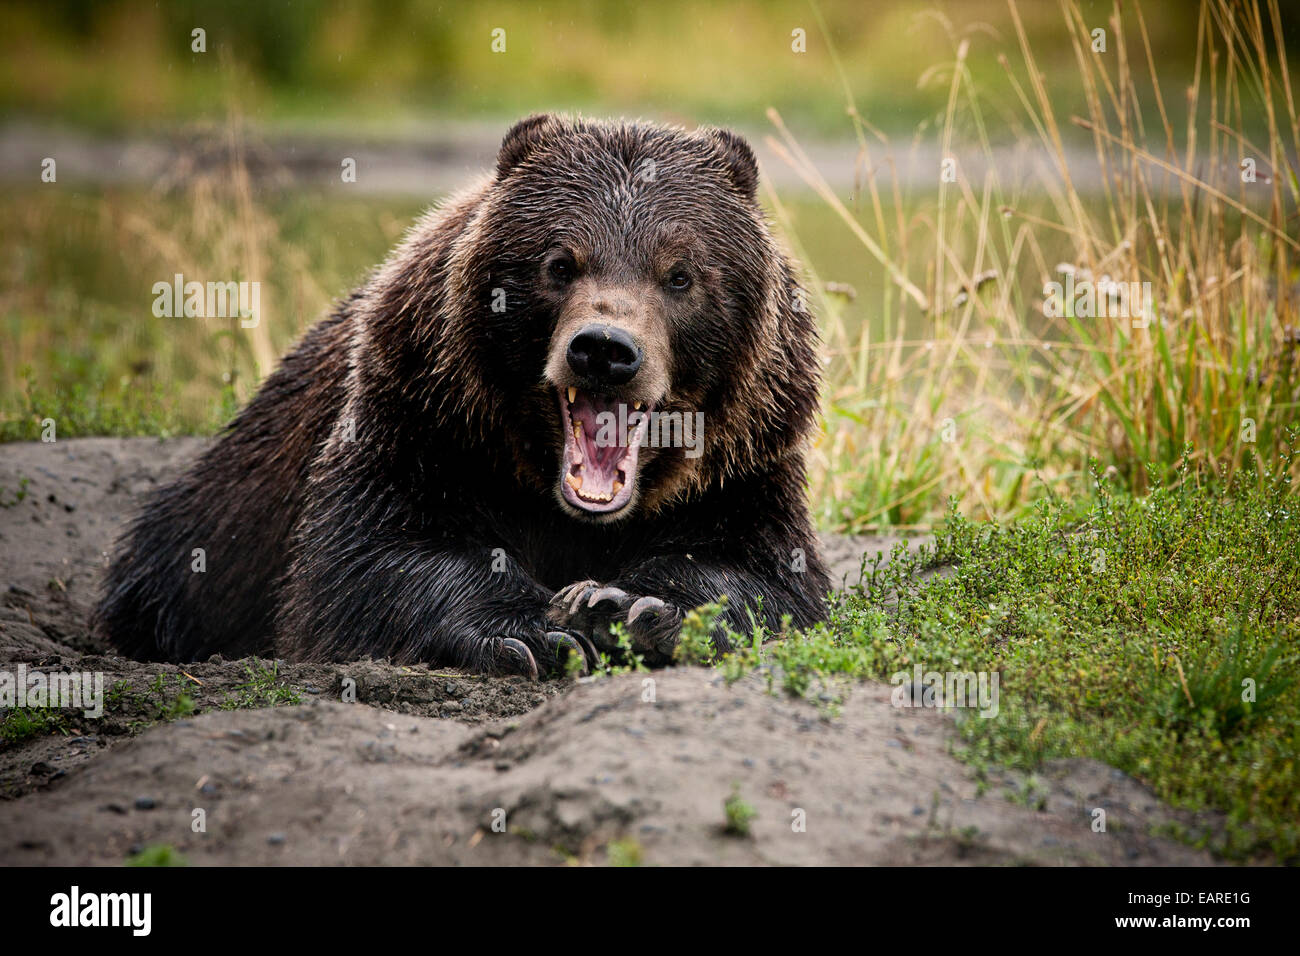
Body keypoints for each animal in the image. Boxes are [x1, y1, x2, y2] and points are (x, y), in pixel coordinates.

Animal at [91, 111, 826, 676]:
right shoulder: (421, 416)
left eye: (680, 273)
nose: (604, 350)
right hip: (221, 512)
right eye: (560, 263)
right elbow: (371, 556)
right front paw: (538, 630)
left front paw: (630, 608)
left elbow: (761, 576)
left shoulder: (745, 459)